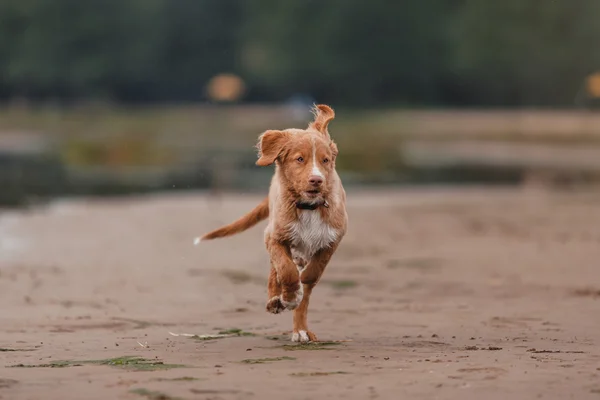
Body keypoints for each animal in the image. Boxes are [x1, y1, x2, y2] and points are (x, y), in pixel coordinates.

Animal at [197, 104, 346, 342]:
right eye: (299, 159)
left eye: (325, 160)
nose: (317, 180)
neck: (308, 206)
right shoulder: (274, 235)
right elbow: (286, 270)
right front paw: (288, 296)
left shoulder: (333, 238)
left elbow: (312, 273)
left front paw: (299, 292)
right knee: (274, 270)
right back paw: (277, 300)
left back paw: (300, 329)